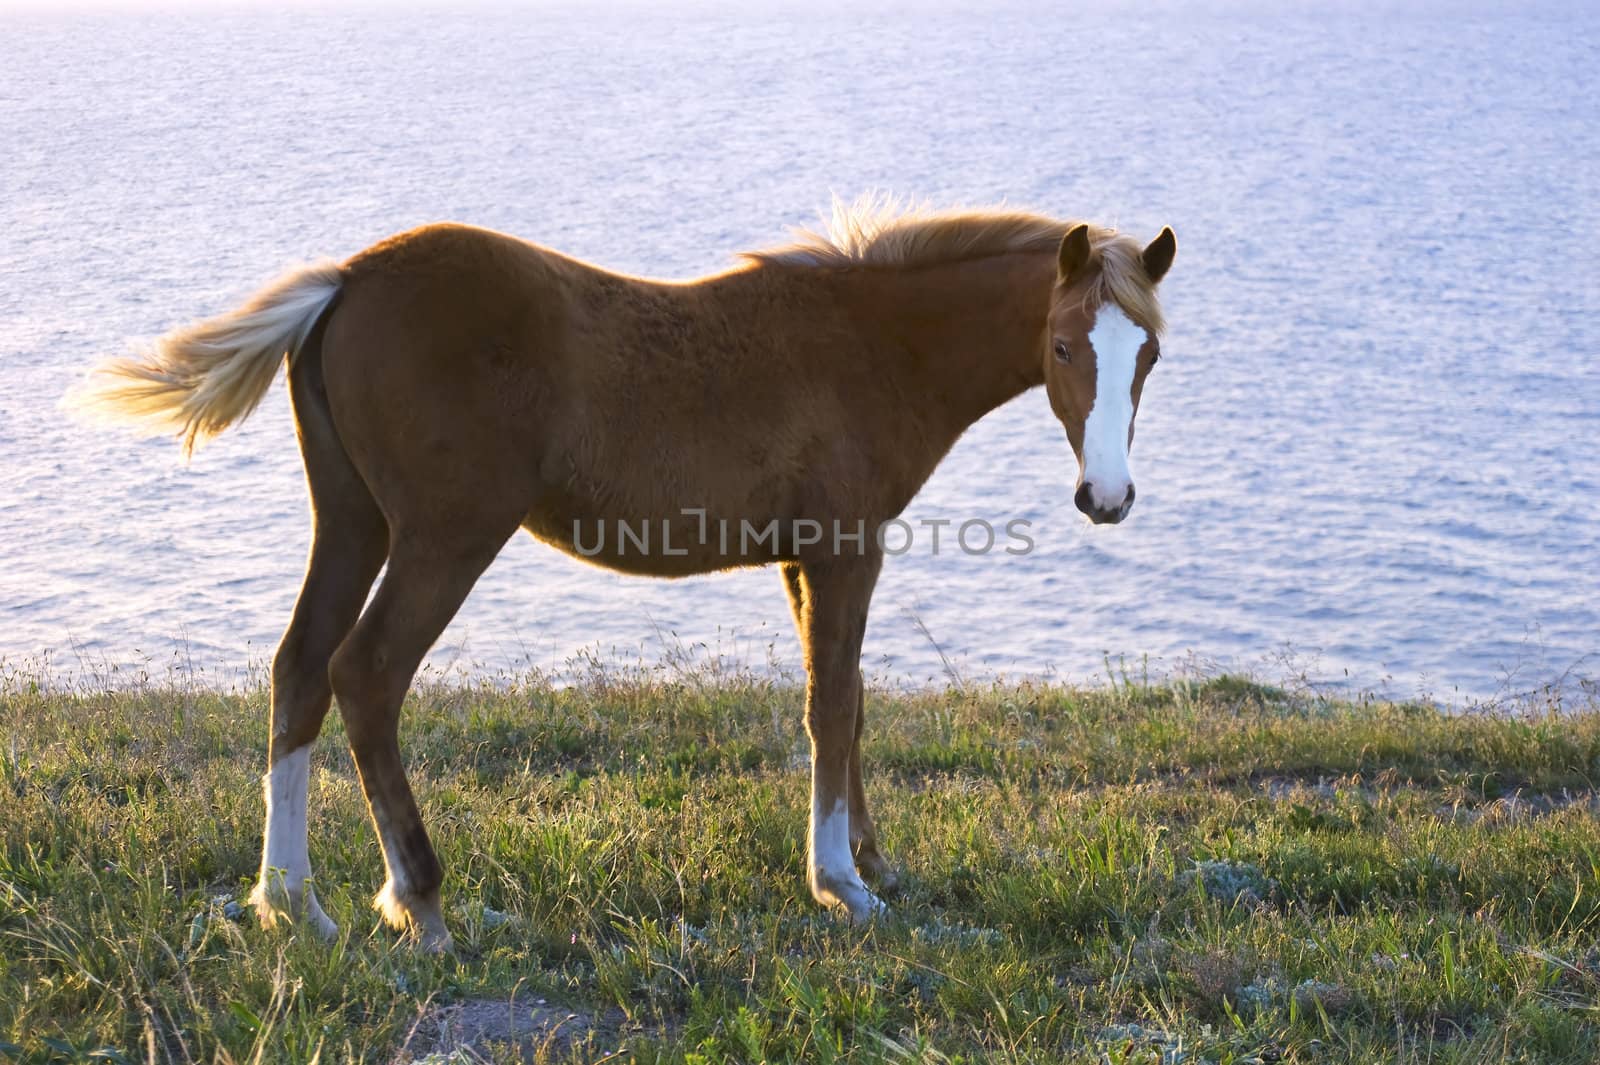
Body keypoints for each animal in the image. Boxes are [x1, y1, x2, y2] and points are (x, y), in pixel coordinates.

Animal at [72, 196, 1177, 946]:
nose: (1106, 497)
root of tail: (344, 280)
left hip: (351, 520)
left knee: (298, 668)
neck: (869, 344)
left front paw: (872, 861)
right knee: (366, 673)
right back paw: (420, 900)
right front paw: (839, 883)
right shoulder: (845, 546)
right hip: (445, 533)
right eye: (1064, 345)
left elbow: (849, 698)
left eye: (1150, 354)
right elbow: (831, 703)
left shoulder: (803, 557)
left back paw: (292, 901)